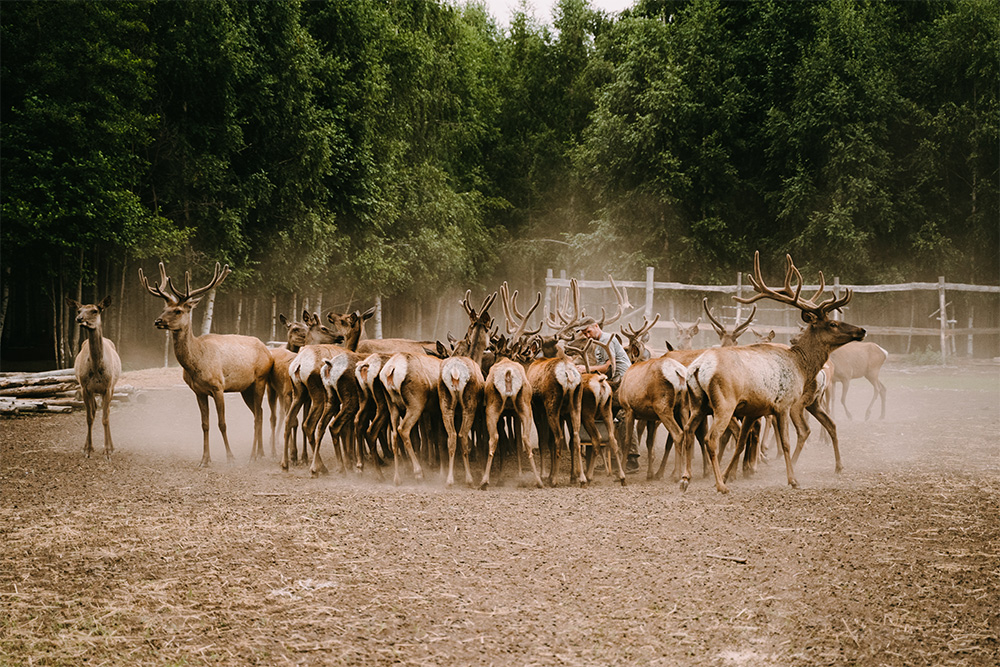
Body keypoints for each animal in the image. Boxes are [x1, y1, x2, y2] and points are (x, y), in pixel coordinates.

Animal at [66, 298, 122, 460]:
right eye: (79, 310)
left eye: (95, 311)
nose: (79, 319)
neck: (97, 367)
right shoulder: (85, 388)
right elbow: (89, 418)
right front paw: (88, 449)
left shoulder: (108, 387)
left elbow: (105, 418)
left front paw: (108, 450)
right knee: (95, 409)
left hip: (112, 387)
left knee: (106, 411)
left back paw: (112, 446)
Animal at [139, 264, 274, 468]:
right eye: (164, 307)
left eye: (178, 310)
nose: (157, 321)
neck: (196, 362)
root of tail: (268, 352)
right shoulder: (198, 391)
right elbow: (205, 425)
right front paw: (204, 460)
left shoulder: (218, 386)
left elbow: (222, 423)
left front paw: (230, 457)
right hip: (246, 388)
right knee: (260, 413)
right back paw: (260, 453)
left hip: (260, 379)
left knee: (258, 416)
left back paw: (252, 456)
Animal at [684, 253, 864, 494]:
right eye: (833, 323)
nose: (861, 330)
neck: (800, 365)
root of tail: (697, 368)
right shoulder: (783, 404)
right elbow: (786, 443)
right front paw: (792, 479)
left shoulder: (753, 410)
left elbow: (740, 442)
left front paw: (731, 473)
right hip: (724, 403)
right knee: (710, 438)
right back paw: (720, 486)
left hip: (698, 403)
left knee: (687, 431)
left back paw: (686, 479)